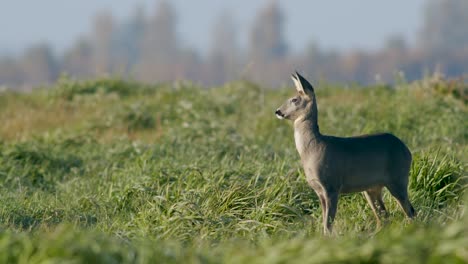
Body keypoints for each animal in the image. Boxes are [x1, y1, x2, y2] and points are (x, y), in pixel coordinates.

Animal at [274, 71, 416, 233]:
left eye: (294, 99)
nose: (277, 111)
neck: (312, 149)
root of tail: (406, 150)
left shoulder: (332, 186)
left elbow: (328, 223)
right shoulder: (319, 191)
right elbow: (324, 221)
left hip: (398, 178)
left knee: (410, 211)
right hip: (372, 187)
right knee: (384, 215)